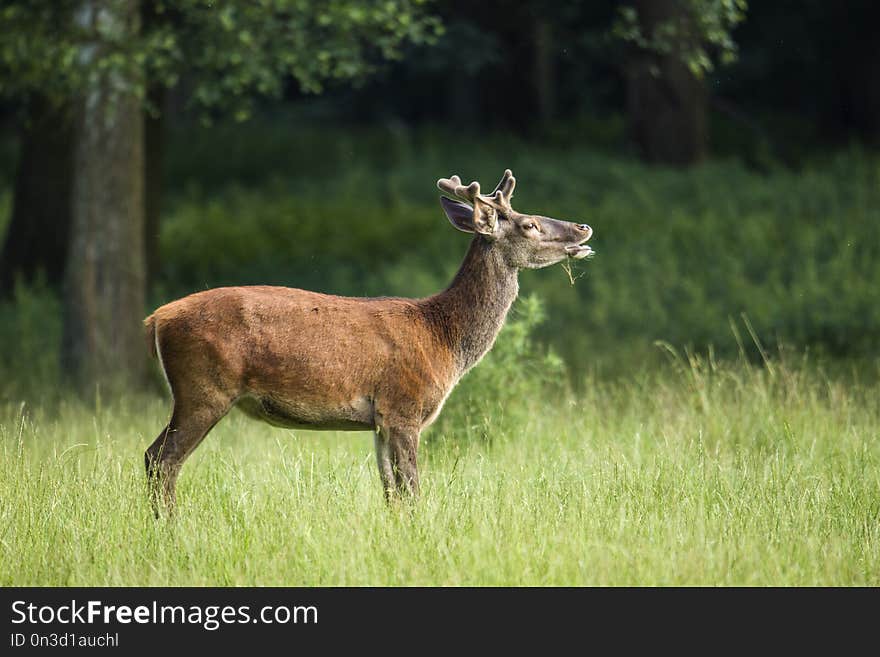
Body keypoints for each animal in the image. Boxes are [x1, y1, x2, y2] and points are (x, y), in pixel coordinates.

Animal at [144, 169, 596, 512]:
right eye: (529, 224)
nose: (583, 226)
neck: (445, 340)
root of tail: (156, 319)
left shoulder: (379, 421)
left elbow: (391, 494)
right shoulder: (404, 406)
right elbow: (412, 491)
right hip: (204, 388)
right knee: (161, 461)